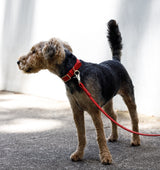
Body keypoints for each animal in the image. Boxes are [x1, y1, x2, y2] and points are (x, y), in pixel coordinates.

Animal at [17, 20, 140, 165]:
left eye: (34, 51)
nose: (18, 61)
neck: (74, 74)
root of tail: (115, 60)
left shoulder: (94, 111)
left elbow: (99, 136)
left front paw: (105, 156)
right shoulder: (76, 110)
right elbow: (81, 135)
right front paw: (79, 154)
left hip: (128, 97)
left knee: (134, 118)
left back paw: (136, 140)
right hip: (107, 102)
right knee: (114, 116)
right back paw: (114, 136)